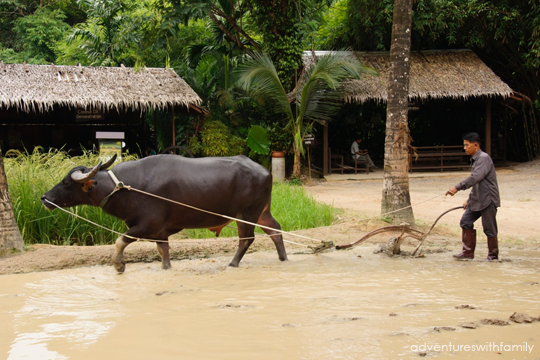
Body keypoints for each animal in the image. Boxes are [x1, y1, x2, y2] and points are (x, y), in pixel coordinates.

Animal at [40, 155, 288, 272]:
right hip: (262, 211)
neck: (123, 187)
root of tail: (265, 171)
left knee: (247, 239)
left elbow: (120, 241)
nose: (44, 198)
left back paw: (233, 264)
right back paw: (283, 258)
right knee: (275, 230)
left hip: (245, 214)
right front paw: (165, 268)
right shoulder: (159, 232)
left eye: (66, 183)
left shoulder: (146, 225)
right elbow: (163, 252)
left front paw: (119, 265)